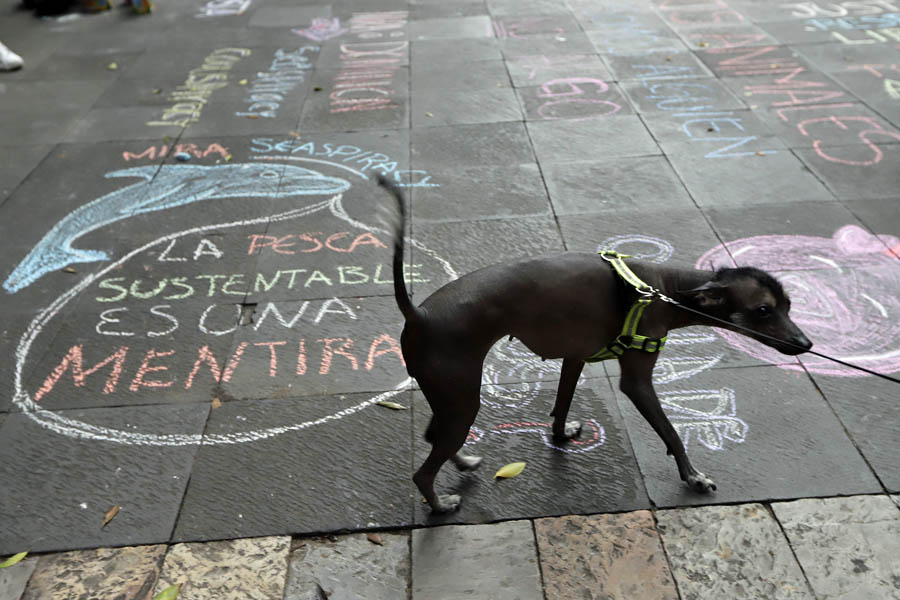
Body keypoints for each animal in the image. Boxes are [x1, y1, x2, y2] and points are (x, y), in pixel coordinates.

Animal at [376, 176, 812, 512]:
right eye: (762, 310)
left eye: (789, 306)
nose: (806, 344)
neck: (666, 291)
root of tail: (420, 313)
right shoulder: (637, 383)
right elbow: (671, 433)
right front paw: (692, 476)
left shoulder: (575, 358)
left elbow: (562, 403)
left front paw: (560, 434)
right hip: (462, 398)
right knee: (422, 471)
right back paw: (439, 505)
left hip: (450, 397)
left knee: (434, 436)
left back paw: (464, 462)